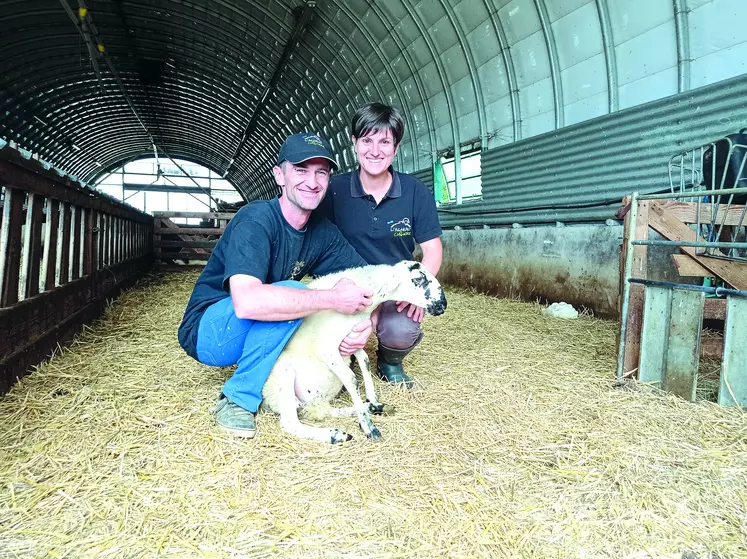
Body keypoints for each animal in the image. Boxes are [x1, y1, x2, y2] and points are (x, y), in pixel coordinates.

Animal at [262, 260, 448, 444]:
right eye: (418, 279)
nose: (443, 305)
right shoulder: (327, 348)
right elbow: (351, 379)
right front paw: (368, 427)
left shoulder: (354, 337)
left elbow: (365, 362)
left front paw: (372, 400)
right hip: (283, 377)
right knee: (290, 423)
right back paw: (335, 434)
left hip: (312, 400)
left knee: (322, 410)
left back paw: (373, 408)